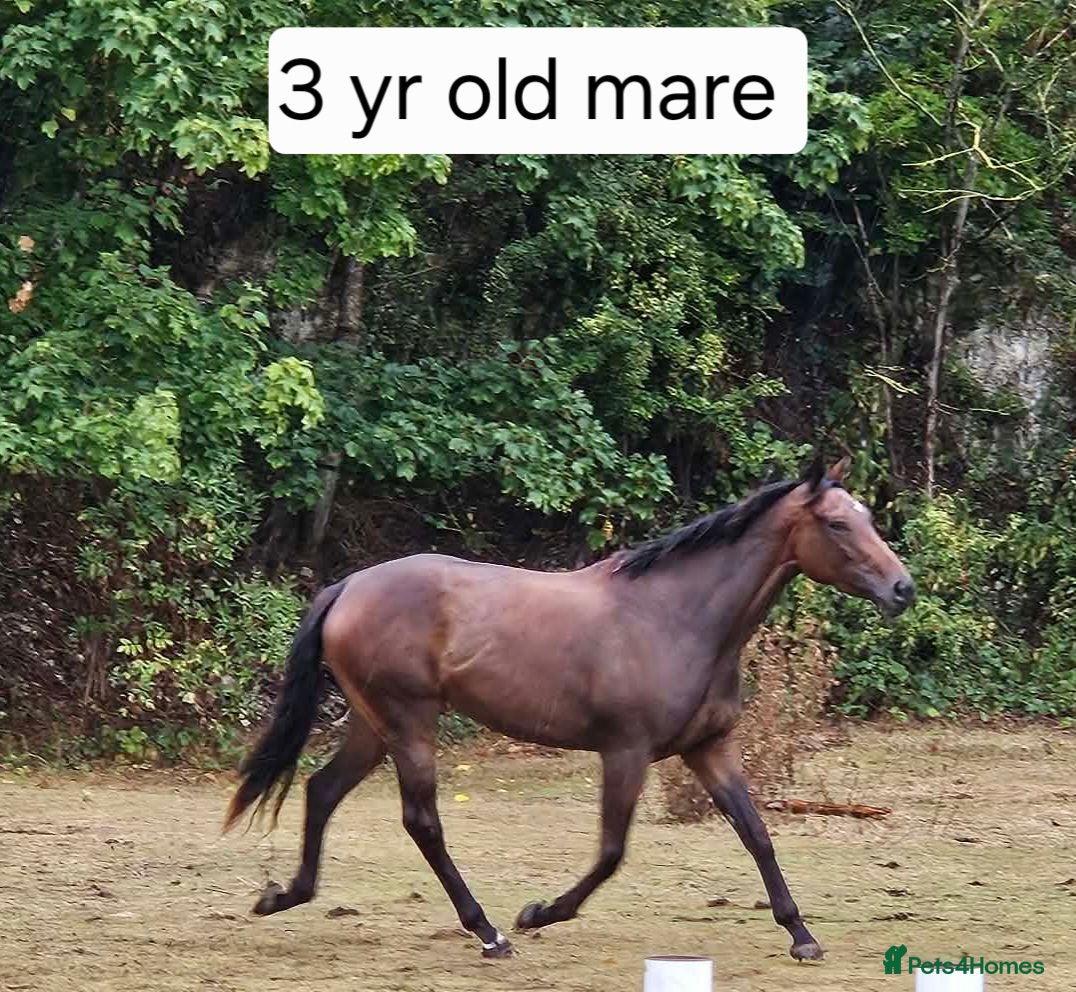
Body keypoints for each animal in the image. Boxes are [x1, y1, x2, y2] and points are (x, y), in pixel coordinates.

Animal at [224, 457, 914, 962]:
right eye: (837, 524)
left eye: (866, 516)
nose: (902, 588)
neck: (676, 617)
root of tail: (346, 587)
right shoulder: (626, 752)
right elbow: (611, 852)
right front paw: (540, 913)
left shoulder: (708, 748)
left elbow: (758, 835)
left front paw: (802, 937)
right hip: (409, 721)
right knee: (421, 821)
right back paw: (490, 933)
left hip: (374, 725)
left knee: (321, 790)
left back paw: (282, 896)